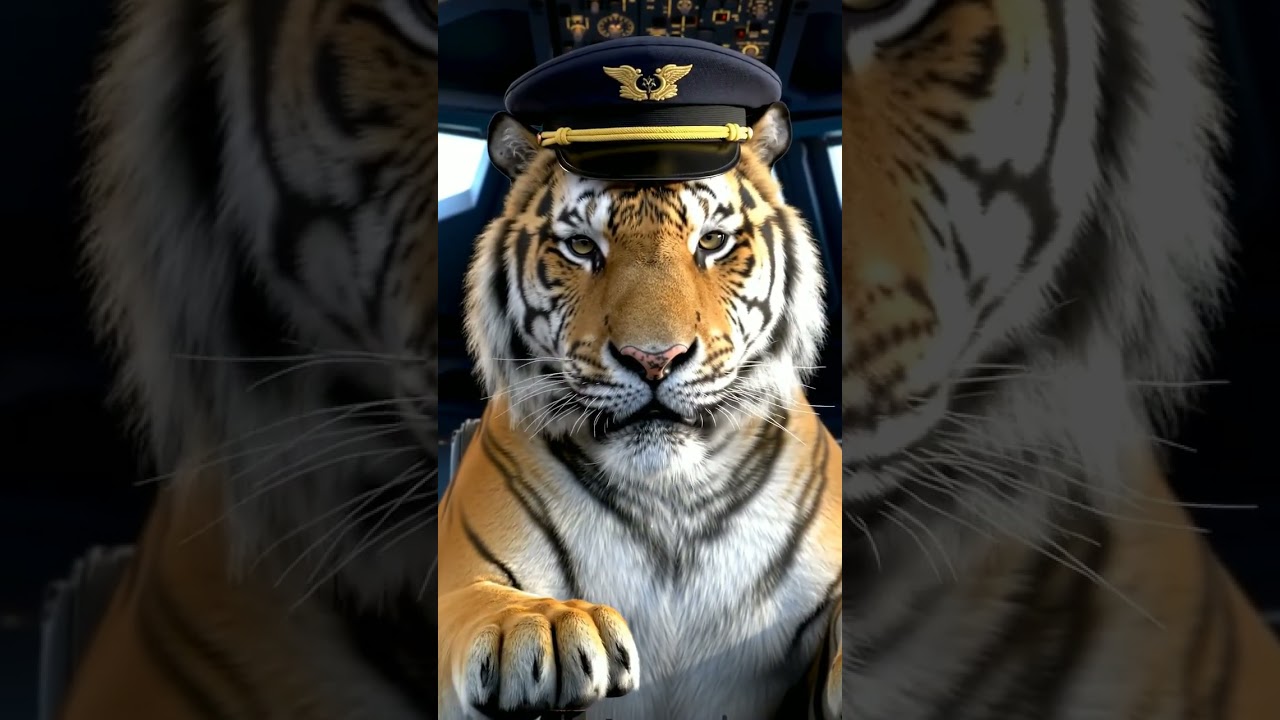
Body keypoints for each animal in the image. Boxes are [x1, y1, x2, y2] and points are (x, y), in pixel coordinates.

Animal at [436, 103, 843, 719]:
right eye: (582, 247)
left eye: (713, 241)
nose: (654, 358)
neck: (670, 504)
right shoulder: (462, 563)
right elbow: (472, 598)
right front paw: (542, 626)